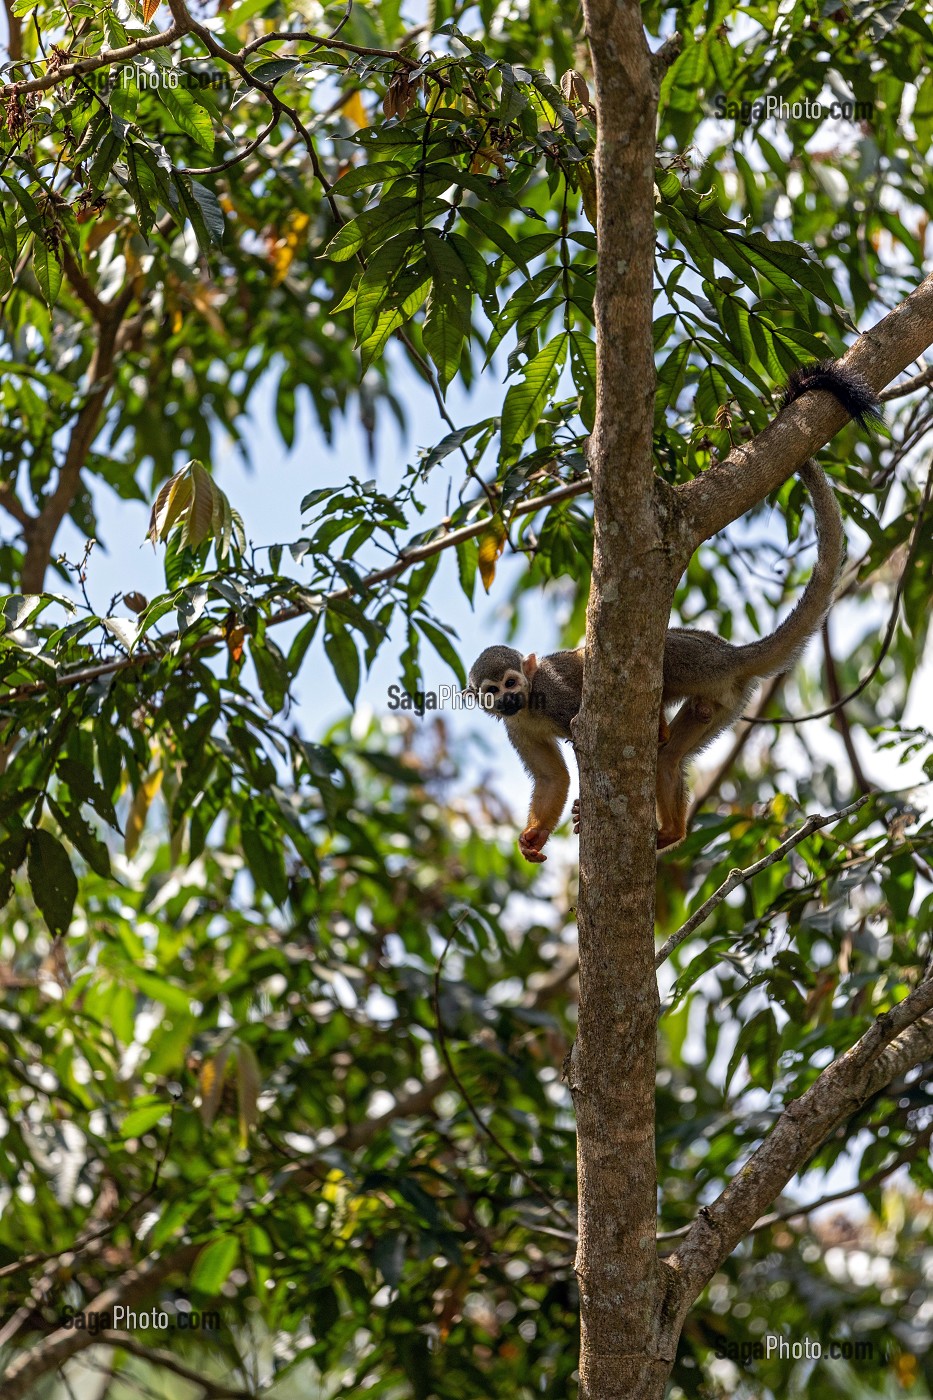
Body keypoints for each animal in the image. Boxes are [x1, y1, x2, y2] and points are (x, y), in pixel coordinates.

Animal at [467, 361, 874, 856]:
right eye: (492, 692)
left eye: (512, 682)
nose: (507, 699)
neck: (530, 705)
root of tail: (731, 655)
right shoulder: (516, 728)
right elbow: (552, 777)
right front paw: (532, 837)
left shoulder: (553, 694)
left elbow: (580, 730)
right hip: (724, 703)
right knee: (670, 758)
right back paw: (672, 828)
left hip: (696, 661)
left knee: (654, 667)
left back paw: (656, 730)